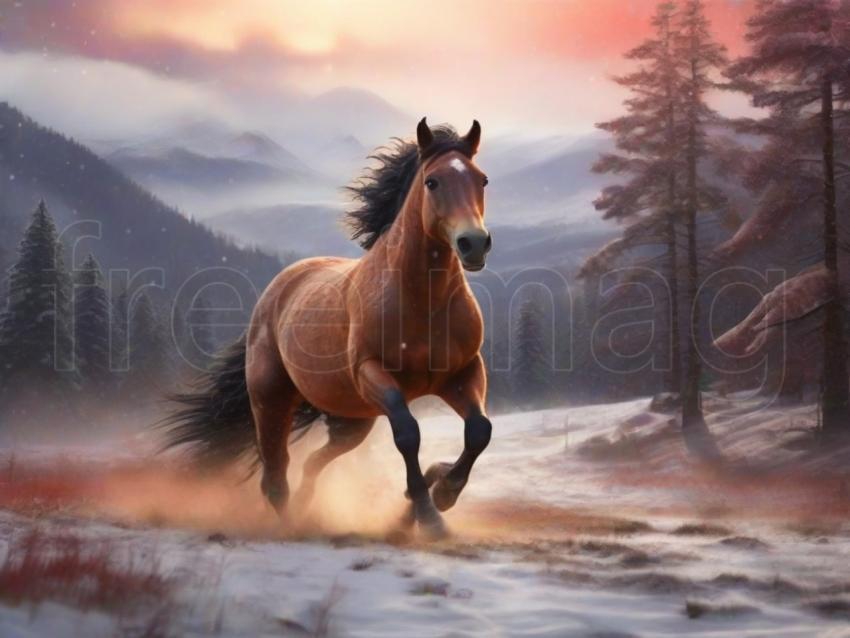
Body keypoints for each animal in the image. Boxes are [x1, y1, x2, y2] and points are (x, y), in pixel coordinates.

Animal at [162, 118, 492, 538]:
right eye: (432, 182)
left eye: (482, 180)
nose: (474, 244)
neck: (423, 300)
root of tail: (276, 290)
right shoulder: (373, 374)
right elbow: (408, 434)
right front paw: (431, 516)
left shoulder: (462, 373)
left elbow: (479, 430)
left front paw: (444, 491)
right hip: (272, 400)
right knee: (275, 476)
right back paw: (296, 525)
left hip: (353, 420)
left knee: (312, 463)